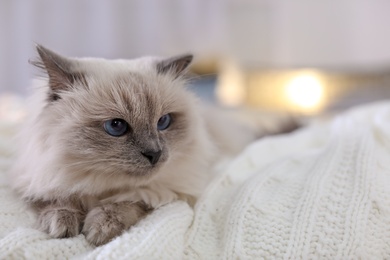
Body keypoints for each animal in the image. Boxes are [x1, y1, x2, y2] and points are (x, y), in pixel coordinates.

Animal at [9, 44, 298, 246]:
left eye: (163, 122)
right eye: (116, 126)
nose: (154, 154)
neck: (98, 184)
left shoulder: (168, 190)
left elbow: (130, 200)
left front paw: (99, 229)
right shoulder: (41, 176)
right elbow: (56, 199)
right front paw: (61, 225)